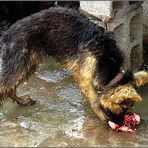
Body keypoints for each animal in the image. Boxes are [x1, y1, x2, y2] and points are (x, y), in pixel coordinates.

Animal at [0, 7, 148, 123]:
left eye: (128, 108)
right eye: (123, 108)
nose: (118, 122)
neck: (105, 58)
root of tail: (7, 33)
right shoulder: (84, 74)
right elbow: (95, 100)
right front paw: (102, 116)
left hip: (28, 65)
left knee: (10, 89)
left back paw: (22, 101)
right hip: (19, 64)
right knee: (4, 86)